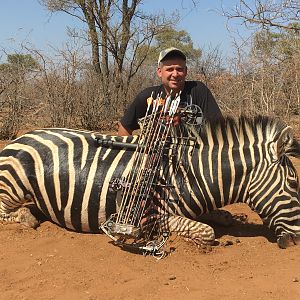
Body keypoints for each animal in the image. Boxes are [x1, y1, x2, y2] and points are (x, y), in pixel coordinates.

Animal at [0, 115, 298, 251]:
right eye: (294, 185)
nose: (296, 240)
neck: (194, 173)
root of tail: (22, 136)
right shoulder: (152, 216)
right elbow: (205, 231)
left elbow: (220, 216)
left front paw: (222, 215)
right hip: (13, 185)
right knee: (9, 213)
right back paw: (27, 216)